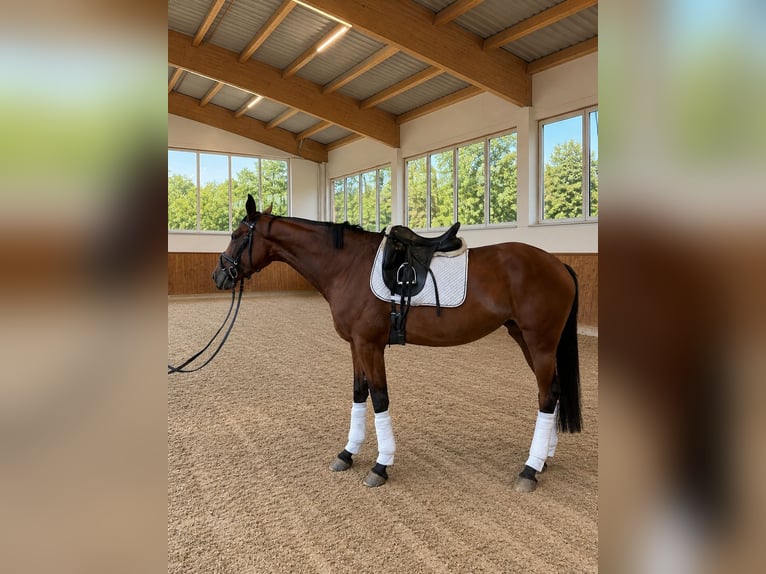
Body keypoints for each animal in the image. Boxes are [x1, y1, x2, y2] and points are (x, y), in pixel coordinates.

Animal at [212, 194, 581, 492]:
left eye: (236, 236)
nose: (219, 276)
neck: (348, 266)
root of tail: (558, 264)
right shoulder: (355, 345)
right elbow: (359, 393)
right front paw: (348, 453)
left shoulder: (370, 345)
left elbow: (379, 398)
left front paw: (381, 465)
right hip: (525, 338)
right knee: (553, 391)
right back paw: (543, 458)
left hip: (540, 343)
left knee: (547, 395)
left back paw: (529, 470)